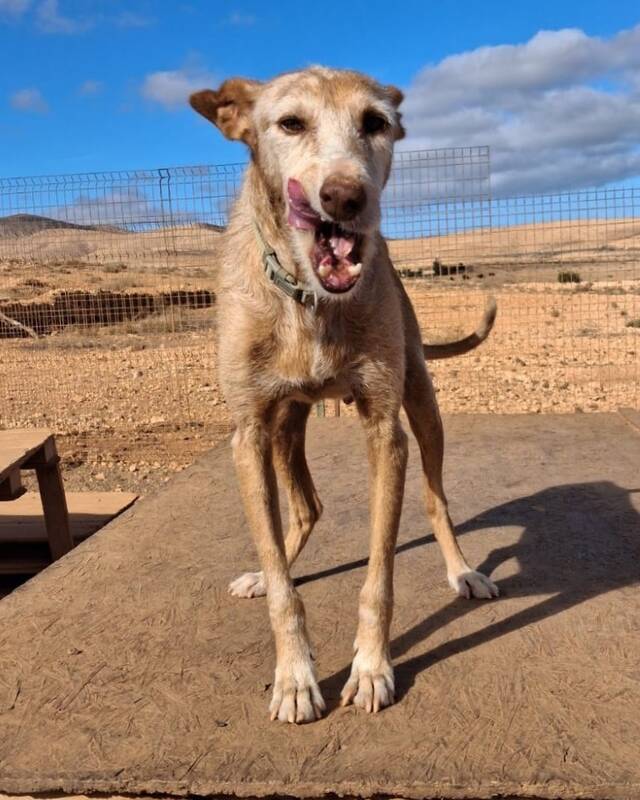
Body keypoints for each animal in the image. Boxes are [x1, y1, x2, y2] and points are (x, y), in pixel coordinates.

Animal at [189, 66, 498, 724]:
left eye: (375, 123)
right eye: (290, 123)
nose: (346, 197)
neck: (309, 301)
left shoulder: (385, 429)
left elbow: (379, 579)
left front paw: (372, 667)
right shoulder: (248, 435)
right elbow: (284, 590)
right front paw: (295, 676)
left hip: (422, 404)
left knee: (436, 500)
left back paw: (463, 572)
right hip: (285, 425)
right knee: (305, 508)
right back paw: (268, 569)